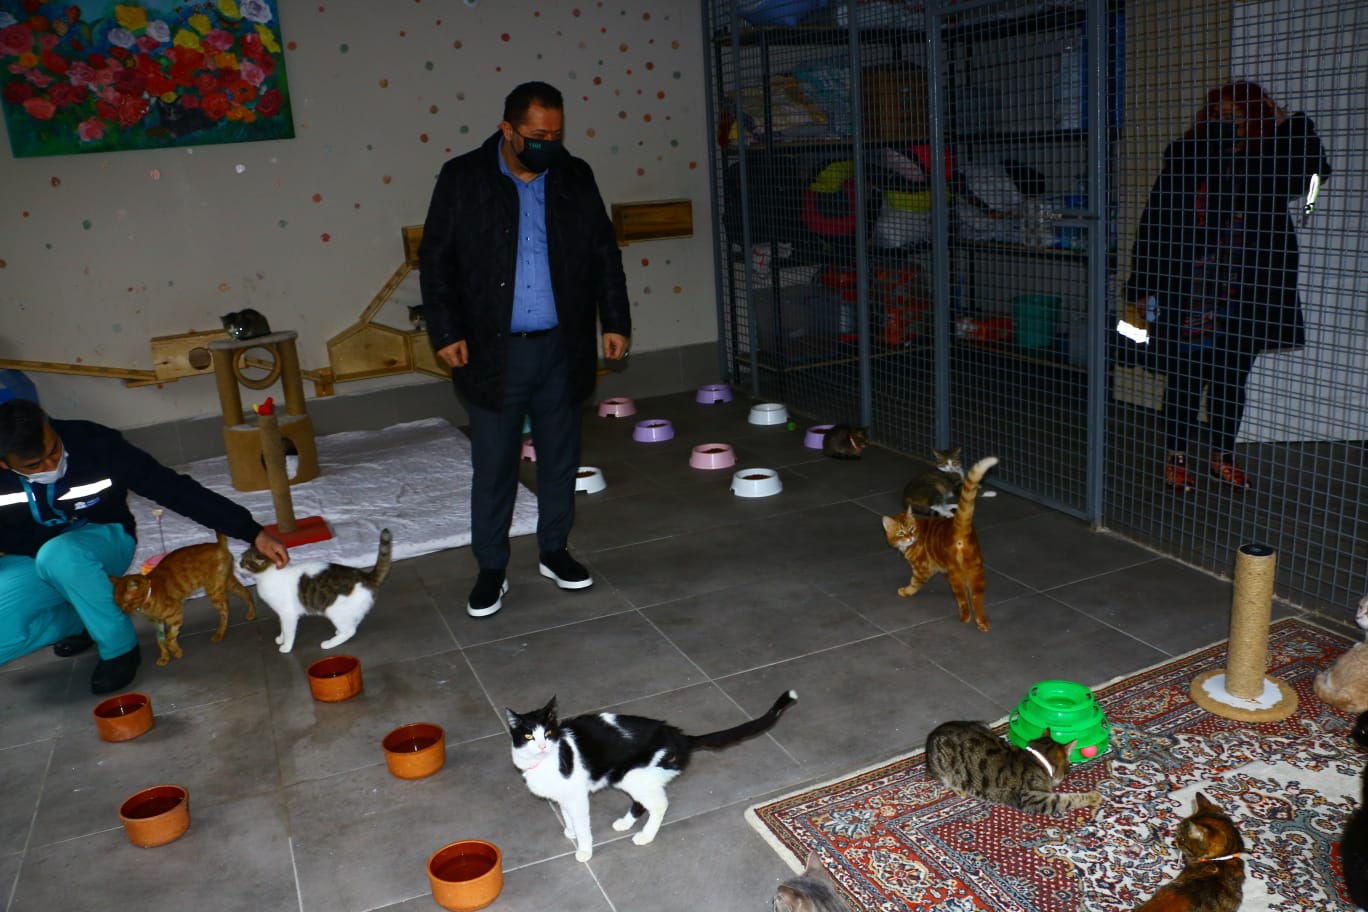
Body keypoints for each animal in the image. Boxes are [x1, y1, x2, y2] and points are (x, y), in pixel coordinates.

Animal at [110, 533, 256, 666]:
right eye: (117, 603)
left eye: (126, 602)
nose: (122, 612)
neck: (149, 597)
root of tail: (218, 544)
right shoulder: (158, 623)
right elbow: (161, 641)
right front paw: (165, 657)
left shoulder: (176, 614)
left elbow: (169, 639)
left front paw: (177, 652)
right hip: (227, 583)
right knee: (245, 591)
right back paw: (252, 613)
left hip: (214, 590)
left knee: (226, 609)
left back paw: (220, 633)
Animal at [238, 528, 392, 652]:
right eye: (241, 560)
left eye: (244, 562)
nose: (237, 565)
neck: (267, 576)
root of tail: (366, 576)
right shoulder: (282, 614)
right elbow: (283, 628)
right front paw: (281, 638)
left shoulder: (288, 614)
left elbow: (288, 631)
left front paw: (286, 646)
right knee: (354, 621)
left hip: (333, 610)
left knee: (350, 631)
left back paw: (329, 643)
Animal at [505, 689, 798, 862]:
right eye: (529, 736)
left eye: (548, 733)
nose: (542, 746)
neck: (544, 762)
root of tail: (680, 738)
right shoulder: (563, 797)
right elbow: (567, 816)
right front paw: (570, 831)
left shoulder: (576, 796)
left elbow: (583, 825)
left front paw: (584, 849)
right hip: (633, 776)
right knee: (642, 802)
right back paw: (625, 823)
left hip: (632, 774)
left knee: (659, 804)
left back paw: (645, 836)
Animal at [881, 455, 998, 632]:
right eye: (901, 532)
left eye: (911, 529)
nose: (909, 537)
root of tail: (958, 527)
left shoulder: (922, 569)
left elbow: (914, 582)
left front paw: (906, 591)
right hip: (975, 569)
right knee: (977, 599)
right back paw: (982, 623)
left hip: (954, 575)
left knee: (963, 599)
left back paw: (965, 617)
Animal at [925, 720, 1100, 814]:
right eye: (1068, 768)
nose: (1066, 775)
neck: (1037, 758)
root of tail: (933, 733)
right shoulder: (1034, 798)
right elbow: (1066, 799)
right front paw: (1094, 796)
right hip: (943, 762)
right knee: (946, 779)